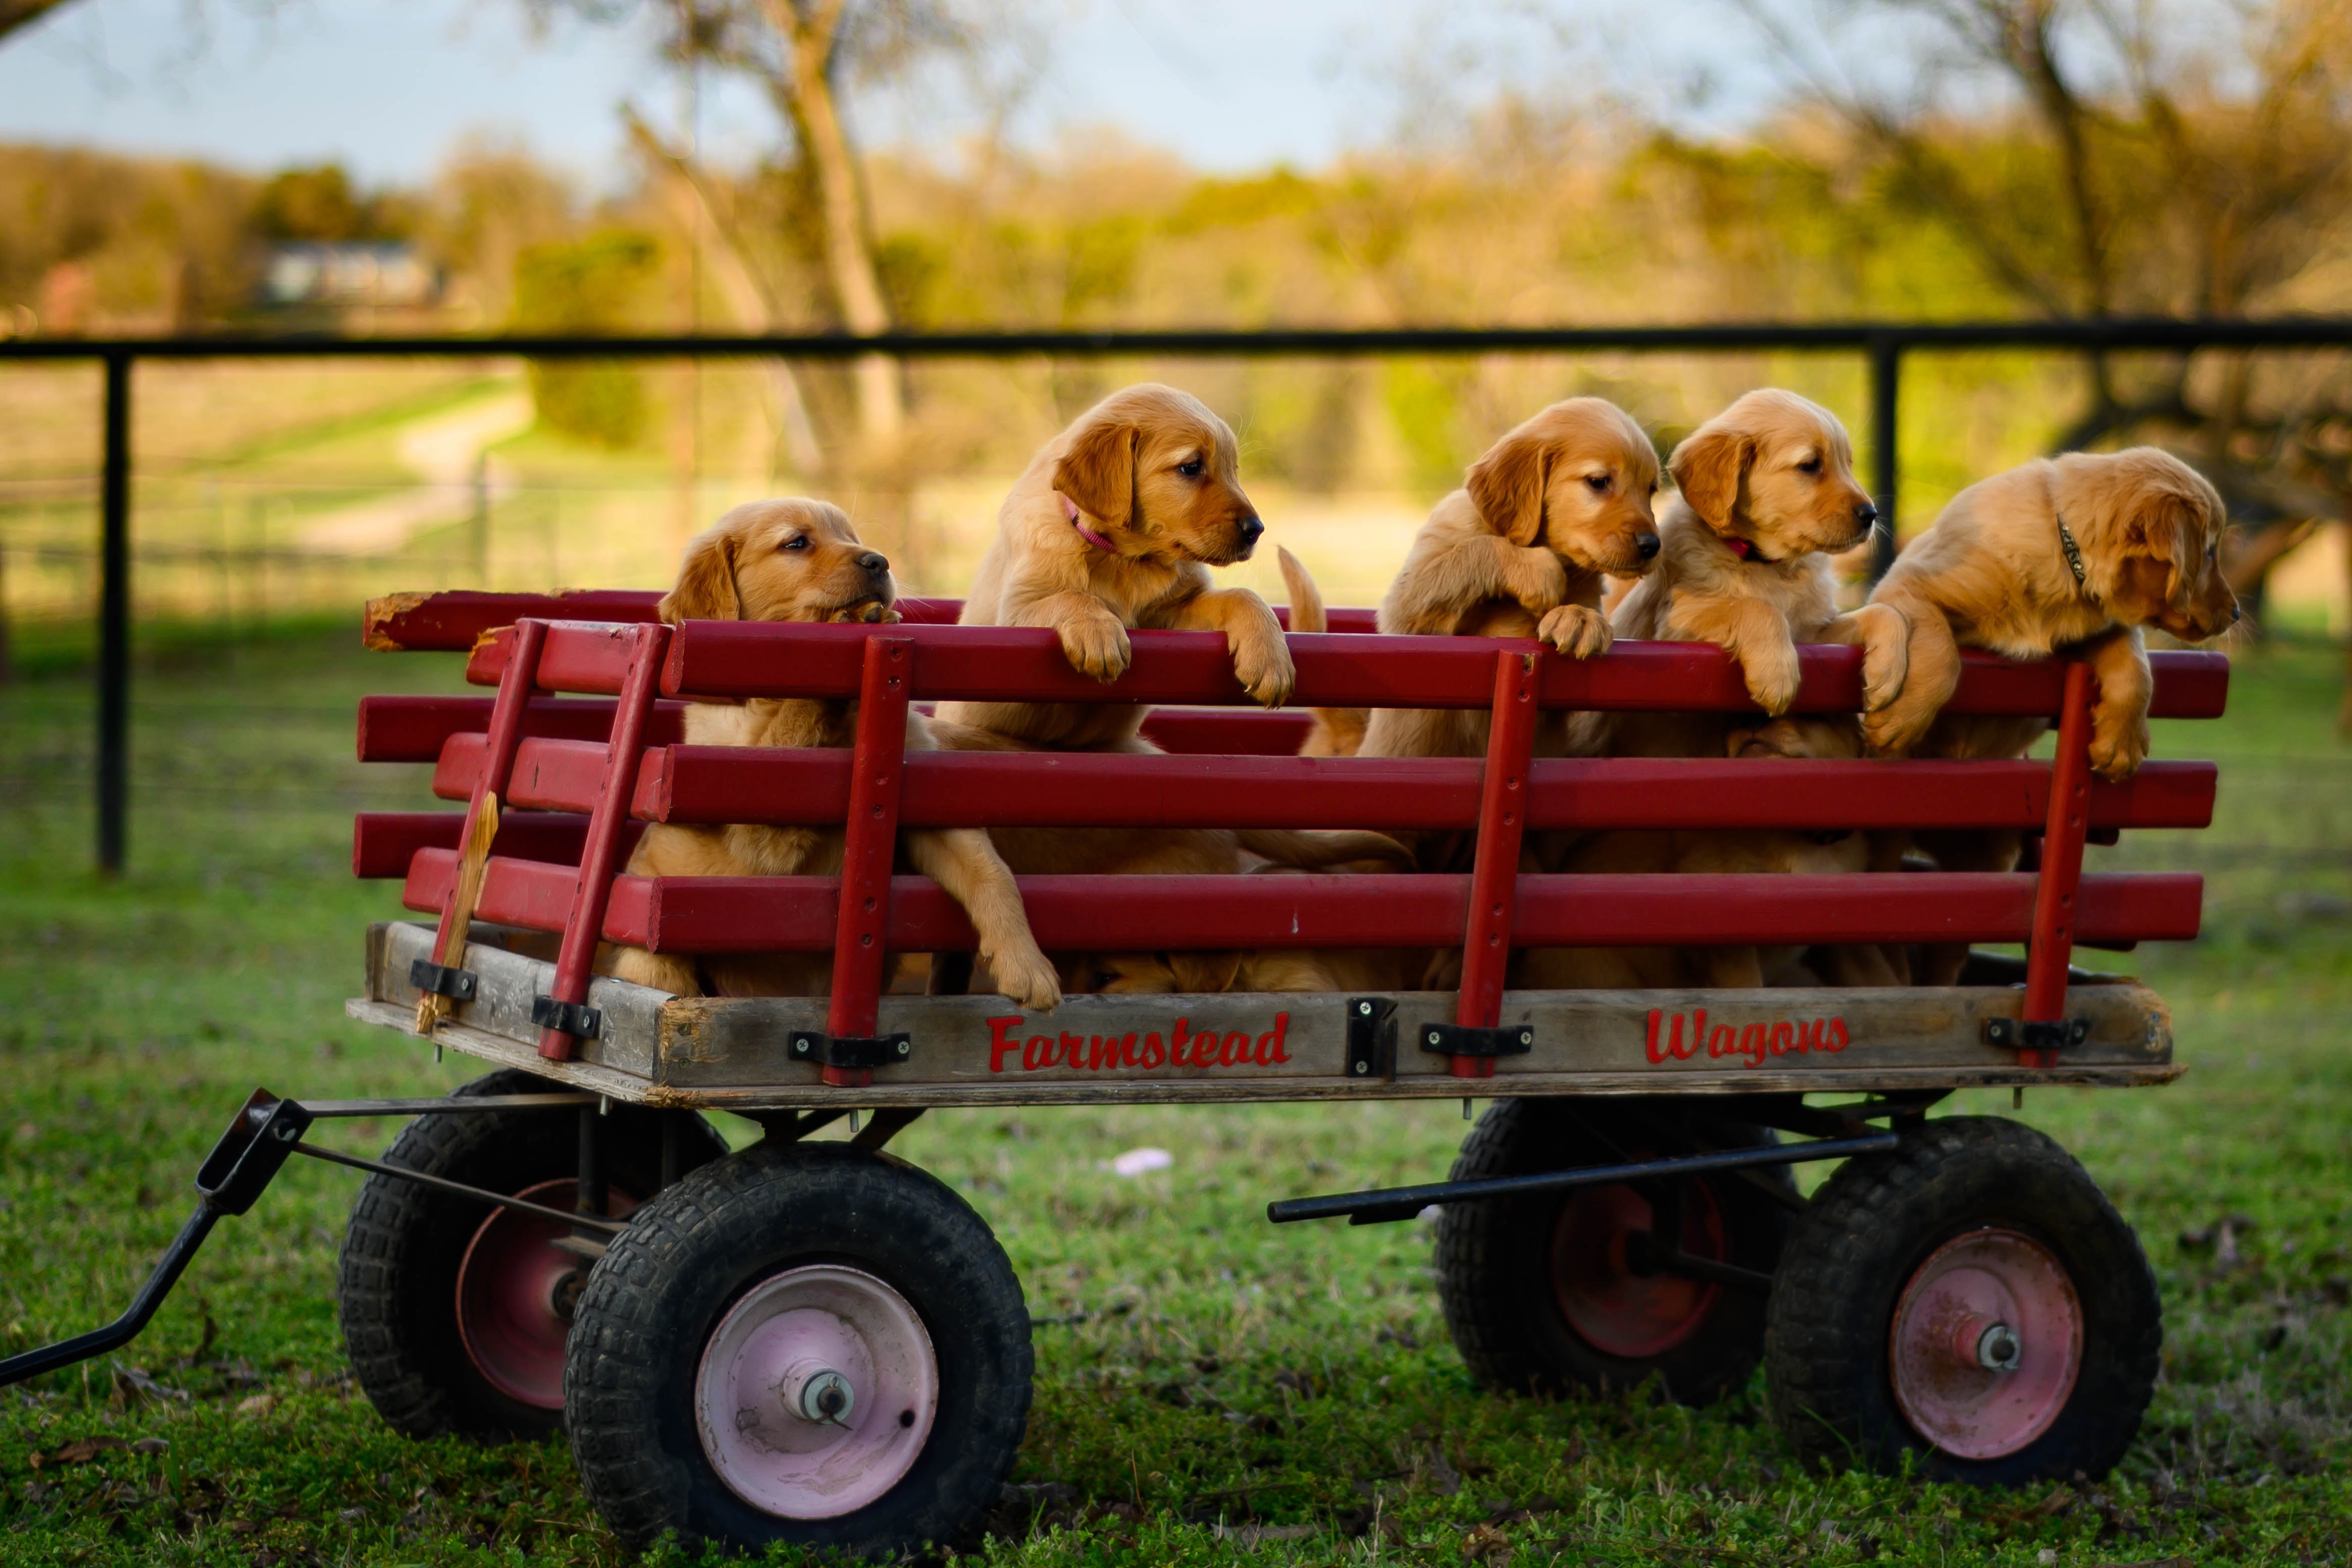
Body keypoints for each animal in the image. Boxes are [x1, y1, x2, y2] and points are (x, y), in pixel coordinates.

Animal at [597, 510, 1068, 1010]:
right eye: (796, 543)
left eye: (850, 537)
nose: (879, 562)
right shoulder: (760, 827)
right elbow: (793, 724)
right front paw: (854, 621)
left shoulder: (926, 800)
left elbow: (991, 872)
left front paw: (1027, 967)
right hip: (651, 959)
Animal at [936, 381, 1298, 747]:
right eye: (1192, 467)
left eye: (1233, 470)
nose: (1256, 530)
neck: (1124, 560)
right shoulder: (1012, 616)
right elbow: (1070, 596)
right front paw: (1098, 634)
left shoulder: (1173, 618)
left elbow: (1243, 596)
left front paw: (1272, 662)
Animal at [1355, 399, 1665, 766]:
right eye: (1599, 481)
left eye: (1651, 490)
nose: (1652, 545)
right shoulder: (1409, 607)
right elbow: (1477, 550)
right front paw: (1538, 571)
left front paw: (1579, 618)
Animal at [1863, 446, 2229, 780]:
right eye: (2209, 553)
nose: (2237, 613)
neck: (2065, 549)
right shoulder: (1908, 581)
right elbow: (1943, 654)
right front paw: (1901, 718)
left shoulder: (2101, 627)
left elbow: (2136, 667)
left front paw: (2121, 747)